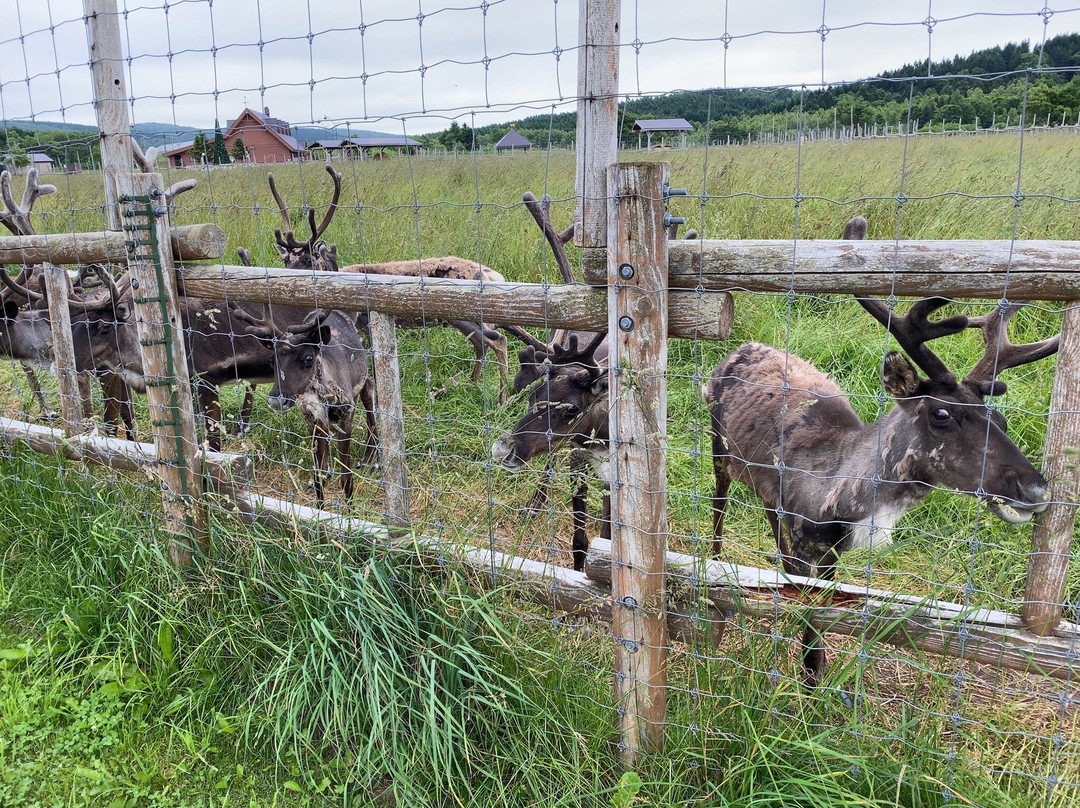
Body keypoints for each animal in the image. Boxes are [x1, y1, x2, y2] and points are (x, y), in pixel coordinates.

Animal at [704, 216, 1059, 688]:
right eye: (942, 414)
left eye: (1000, 420)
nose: (1035, 490)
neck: (841, 492)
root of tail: (741, 347)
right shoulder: (805, 538)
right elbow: (809, 611)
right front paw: (809, 683)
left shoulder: (827, 550)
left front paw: (815, 677)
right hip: (719, 450)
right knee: (718, 505)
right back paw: (713, 571)